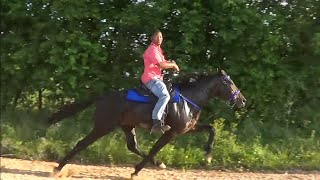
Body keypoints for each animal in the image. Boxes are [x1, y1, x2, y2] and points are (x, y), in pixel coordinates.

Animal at [47, 69, 246, 177]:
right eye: (230, 83)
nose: (242, 100)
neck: (189, 100)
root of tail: (102, 97)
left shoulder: (187, 128)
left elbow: (211, 129)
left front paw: (208, 155)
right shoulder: (172, 132)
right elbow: (154, 148)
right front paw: (136, 171)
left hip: (127, 126)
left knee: (132, 146)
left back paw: (158, 164)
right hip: (103, 126)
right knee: (81, 143)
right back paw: (58, 168)